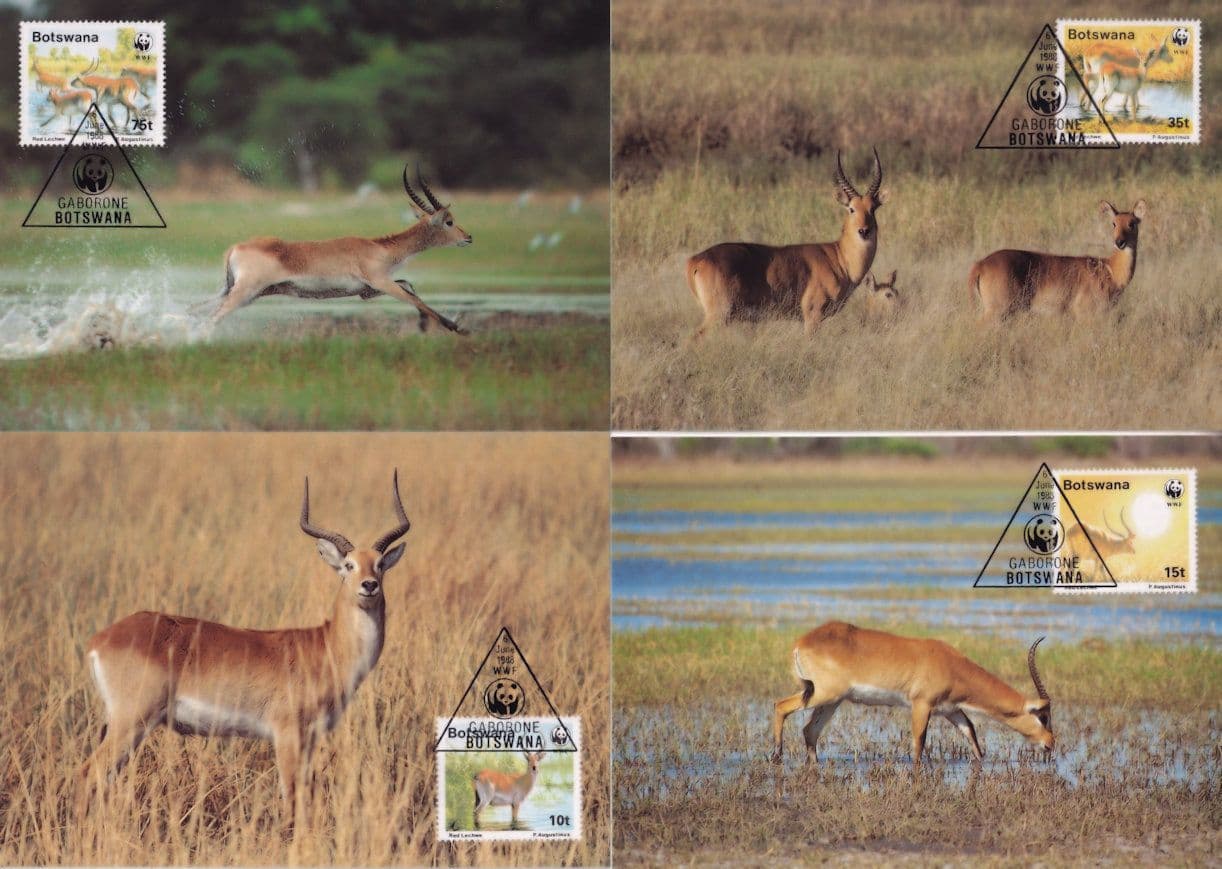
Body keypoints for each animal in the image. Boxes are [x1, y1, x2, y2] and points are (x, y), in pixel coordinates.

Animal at [77, 471, 411, 818]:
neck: (326, 647)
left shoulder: (310, 739)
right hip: (131, 721)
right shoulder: (288, 734)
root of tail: (100, 639)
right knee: (87, 774)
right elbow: (292, 800)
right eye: (349, 565)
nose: (369, 585)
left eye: (380, 565)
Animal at [204, 167, 471, 332]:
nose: (468, 237)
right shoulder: (381, 282)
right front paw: (457, 327)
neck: (380, 248)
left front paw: (428, 325)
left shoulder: (367, 291)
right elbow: (414, 297)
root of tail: (235, 248)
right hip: (245, 291)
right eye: (449, 221)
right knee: (210, 319)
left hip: (243, 292)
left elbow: (410, 286)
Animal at [686, 148, 887, 339]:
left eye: (872, 208)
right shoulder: (812, 316)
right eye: (851, 208)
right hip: (719, 315)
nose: (864, 231)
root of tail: (696, 260)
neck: (839, 258)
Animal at [772, 622, 1052, 770]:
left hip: (832, 701)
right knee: (780, 705)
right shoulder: (921, 704)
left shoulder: (950, 709)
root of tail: (802, 642)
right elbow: (919, 741)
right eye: (1043, 716)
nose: (1050, 745)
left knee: (810, 730)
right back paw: (776, 757)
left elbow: (971, 734)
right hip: (822, 694)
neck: (951, 665)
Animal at [969, 199, 1146, 321]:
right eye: (1113, 223)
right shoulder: (1085, 314)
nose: (1119, 242)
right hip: (996, 310)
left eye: (1132, 223)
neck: (1111, 271)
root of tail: (980, 265)